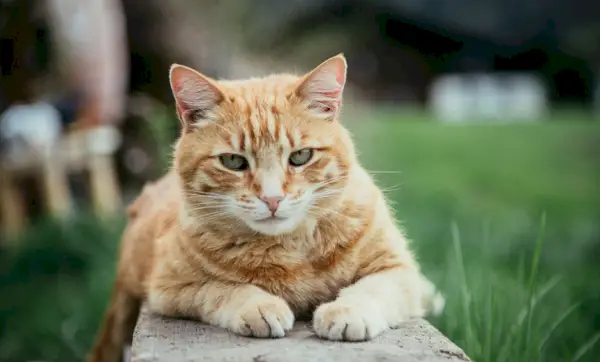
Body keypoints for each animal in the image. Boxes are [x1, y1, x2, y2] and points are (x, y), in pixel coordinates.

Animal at [89, 53, 446, 362]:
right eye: (233, 162)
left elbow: (372, 289)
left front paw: (348, 311)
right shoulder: (169, 288)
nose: (272, 198)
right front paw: (259, 307)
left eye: (301, 156)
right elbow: (222, 288)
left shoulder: (396, 269)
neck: (291, 249)